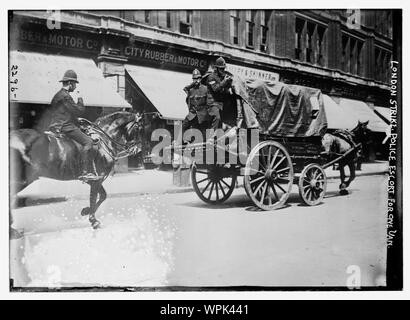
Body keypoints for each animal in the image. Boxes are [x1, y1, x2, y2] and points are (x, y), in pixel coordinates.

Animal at [10, 110, 143, 235]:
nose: (138, 149)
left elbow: (103, 196)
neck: (102, 141)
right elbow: (94, 198)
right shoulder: (96, 180)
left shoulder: (94, 180)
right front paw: (93, 220)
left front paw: (86, 211)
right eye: (138, 128)